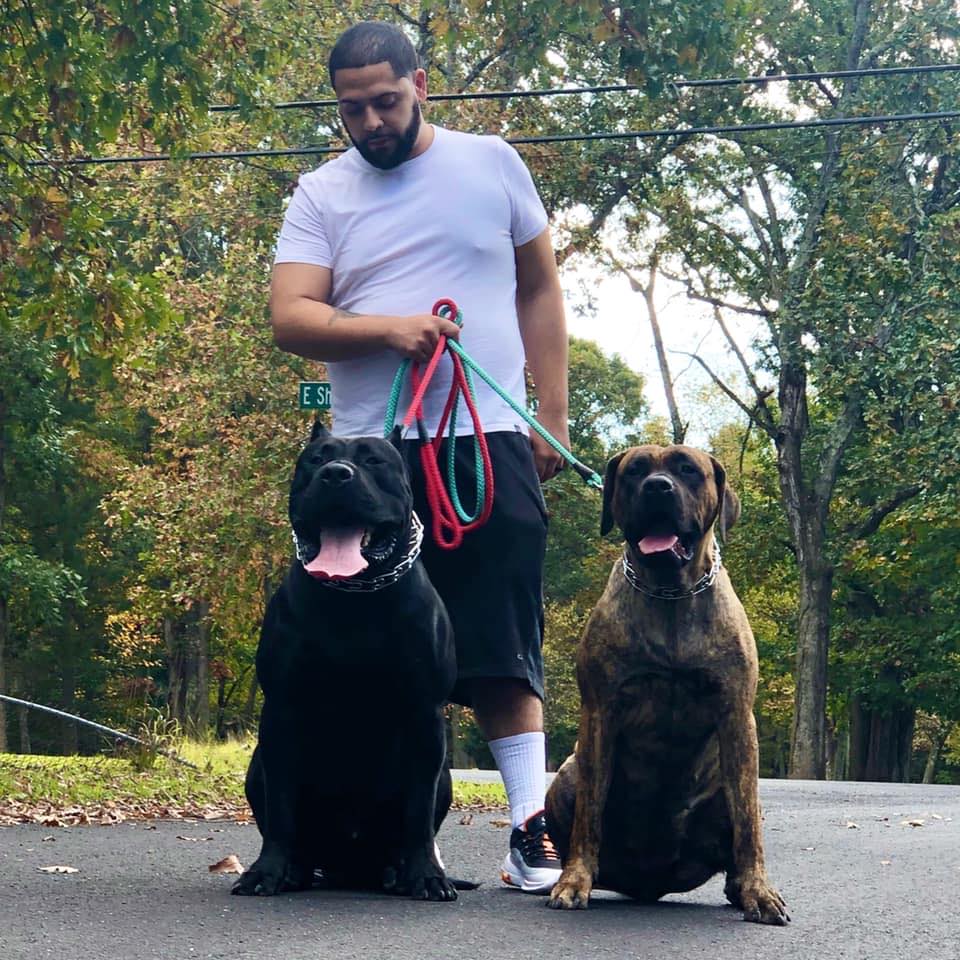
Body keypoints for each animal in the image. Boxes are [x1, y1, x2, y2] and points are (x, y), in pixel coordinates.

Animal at [232, 422, 461, 901]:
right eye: (315, 460)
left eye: (374, 460)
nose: (336, 474)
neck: (353, 597)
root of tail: (348, 869)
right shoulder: (281, 711)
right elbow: (280, 809)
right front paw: (267, 871)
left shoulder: (425, 716)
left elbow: (418, 813)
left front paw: (427, 875)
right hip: (257, 765)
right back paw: (296, 870)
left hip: (445, 776)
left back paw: (396, 873)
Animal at [545, 444, 788, 924]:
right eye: (635, 470)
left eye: (688, 470)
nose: (657, 487)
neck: (669, 594)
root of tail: (648, 883)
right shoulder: (599, 712)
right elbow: (588, 817)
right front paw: (573, 882)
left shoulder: (737, 714)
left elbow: (749, 830)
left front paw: (759, 890)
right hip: (564, 776)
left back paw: (741, 888)